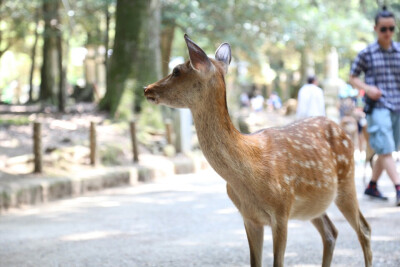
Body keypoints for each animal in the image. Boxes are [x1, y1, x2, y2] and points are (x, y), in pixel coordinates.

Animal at [144, 35, 372, 267]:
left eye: (176, 70)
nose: (147, 88)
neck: (249, 171)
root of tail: (343, 130)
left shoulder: (281, 211)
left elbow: (277, 263)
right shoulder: (249, 216)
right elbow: (255, 262)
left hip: (346, 180)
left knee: (364, 229)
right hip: (314, 204)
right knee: (331, 232)